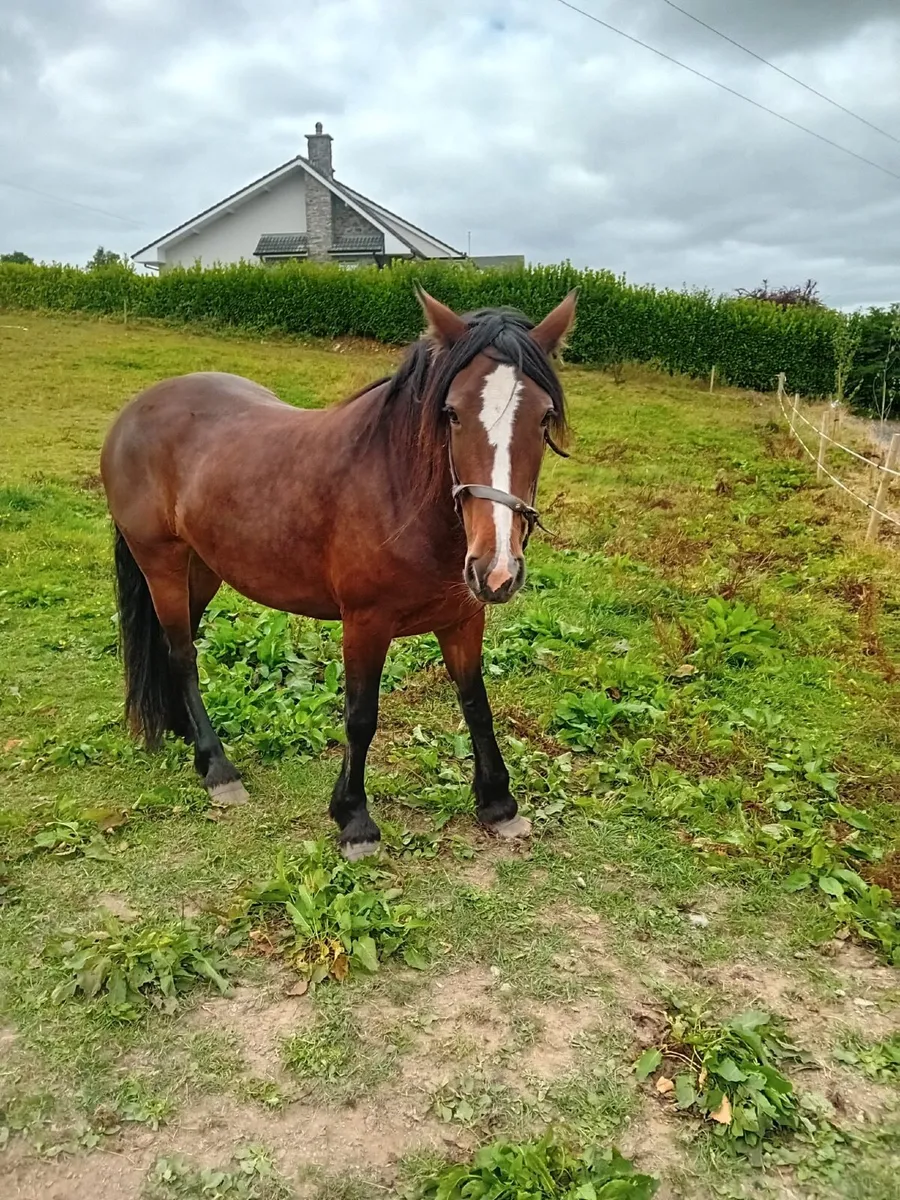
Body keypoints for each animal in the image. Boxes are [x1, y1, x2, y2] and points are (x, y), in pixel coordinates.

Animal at [100, 287, 576, 859]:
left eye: (544, 418)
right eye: (453, 414)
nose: (497, 567)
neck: (398, 491)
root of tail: (133, 413)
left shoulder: (464, 619)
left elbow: (475, 704)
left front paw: (498, 803)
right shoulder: (365, 623)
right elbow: (361, 716)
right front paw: (354, 818)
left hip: (203, 568)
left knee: (180, 646)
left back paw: (185, 734)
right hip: (163, 564)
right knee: (183, 655)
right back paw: (216, 766)